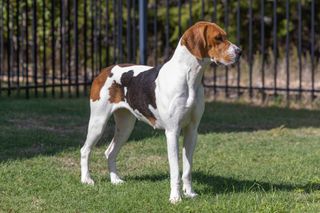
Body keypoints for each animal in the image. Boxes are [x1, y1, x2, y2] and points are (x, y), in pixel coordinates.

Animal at [81, 21, 241, 203]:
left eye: (225, 36)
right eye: (218, 38)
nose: (239, 52)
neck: (189, 78)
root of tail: (103, 71)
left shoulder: (192, 131)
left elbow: (187, 169)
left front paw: (190, 193)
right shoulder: (172, 132)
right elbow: (175, 170)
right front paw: (175, 197)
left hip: (126, 127)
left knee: (110, 152)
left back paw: (115, 180)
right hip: (98, 123)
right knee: (85, 150)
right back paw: (86, 179)